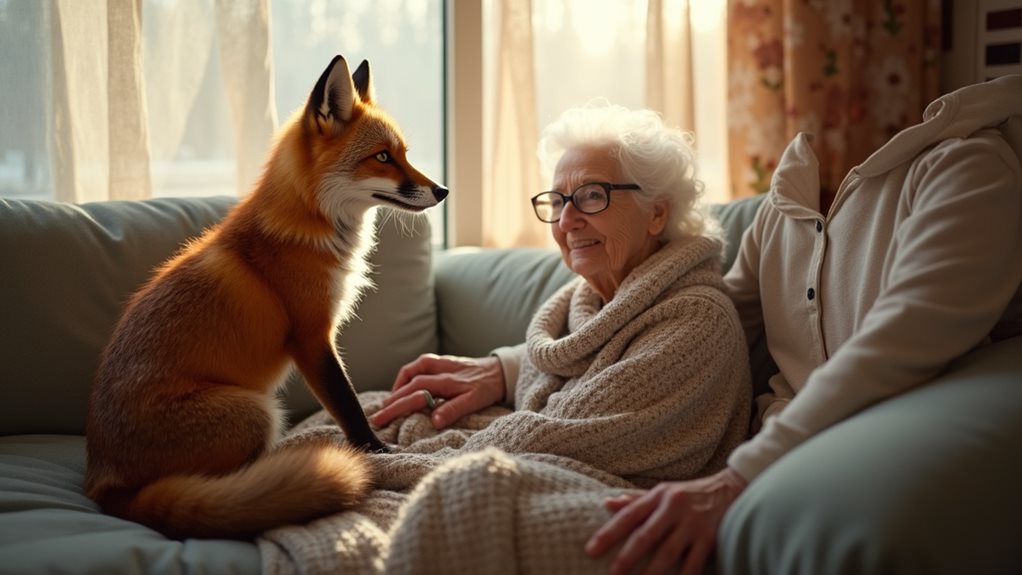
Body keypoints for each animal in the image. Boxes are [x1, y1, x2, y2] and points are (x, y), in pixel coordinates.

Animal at [84, 55, 448, 540]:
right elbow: (349, 405)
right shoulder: (312, 338)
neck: (311, 228)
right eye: (383, 157)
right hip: (258, 412)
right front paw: (375, 453)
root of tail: (102, 484)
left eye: (403, 154)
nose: (443, 191)